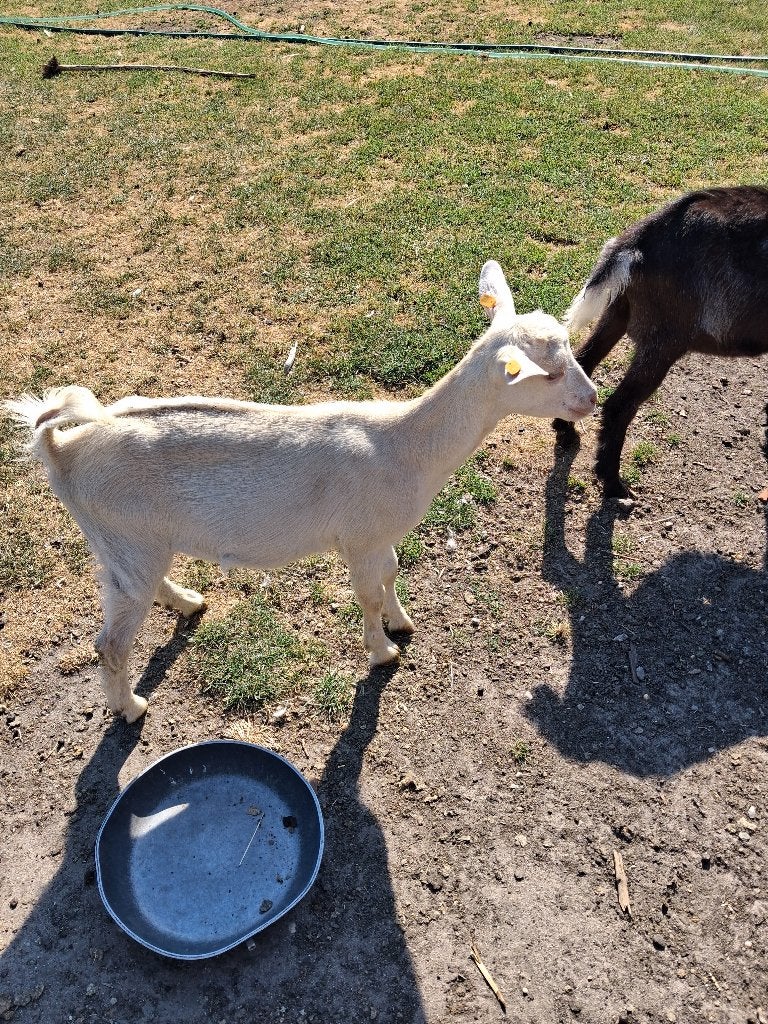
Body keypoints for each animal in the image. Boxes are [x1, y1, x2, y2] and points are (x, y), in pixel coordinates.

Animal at [6, 262, 596, 722]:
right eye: (548, 372)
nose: (591, 399)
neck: (402, 445)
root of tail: (62, 451)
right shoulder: (359, 535)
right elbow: (368, 591)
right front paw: (383, 652)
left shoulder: (378, 535)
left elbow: (390, 573)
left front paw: (402, 622)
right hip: (129, 537)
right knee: (109, 642)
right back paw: (130, 707)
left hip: (121, 544)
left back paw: (190, 602)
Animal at [554, 185, 768, 498]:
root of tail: (637, 242)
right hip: (663, 341)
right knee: (619, 405)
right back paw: (614, 483)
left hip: (619, 312)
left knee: (584, 361)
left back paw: (565, 430)